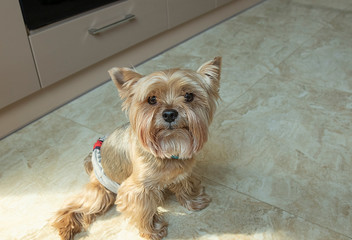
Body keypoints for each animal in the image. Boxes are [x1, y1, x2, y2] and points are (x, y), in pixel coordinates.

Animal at [51, 56, 223, 240]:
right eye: (152, 99)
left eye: (189, 96)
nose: (169, 114)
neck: (169, 146)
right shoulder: (136, 190)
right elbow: (143, 211)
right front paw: (153, 230)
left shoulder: (182, 173)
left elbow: (186, 186)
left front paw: (194, 201)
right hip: (100, 190)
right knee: (76, 205)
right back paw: (65, 227)